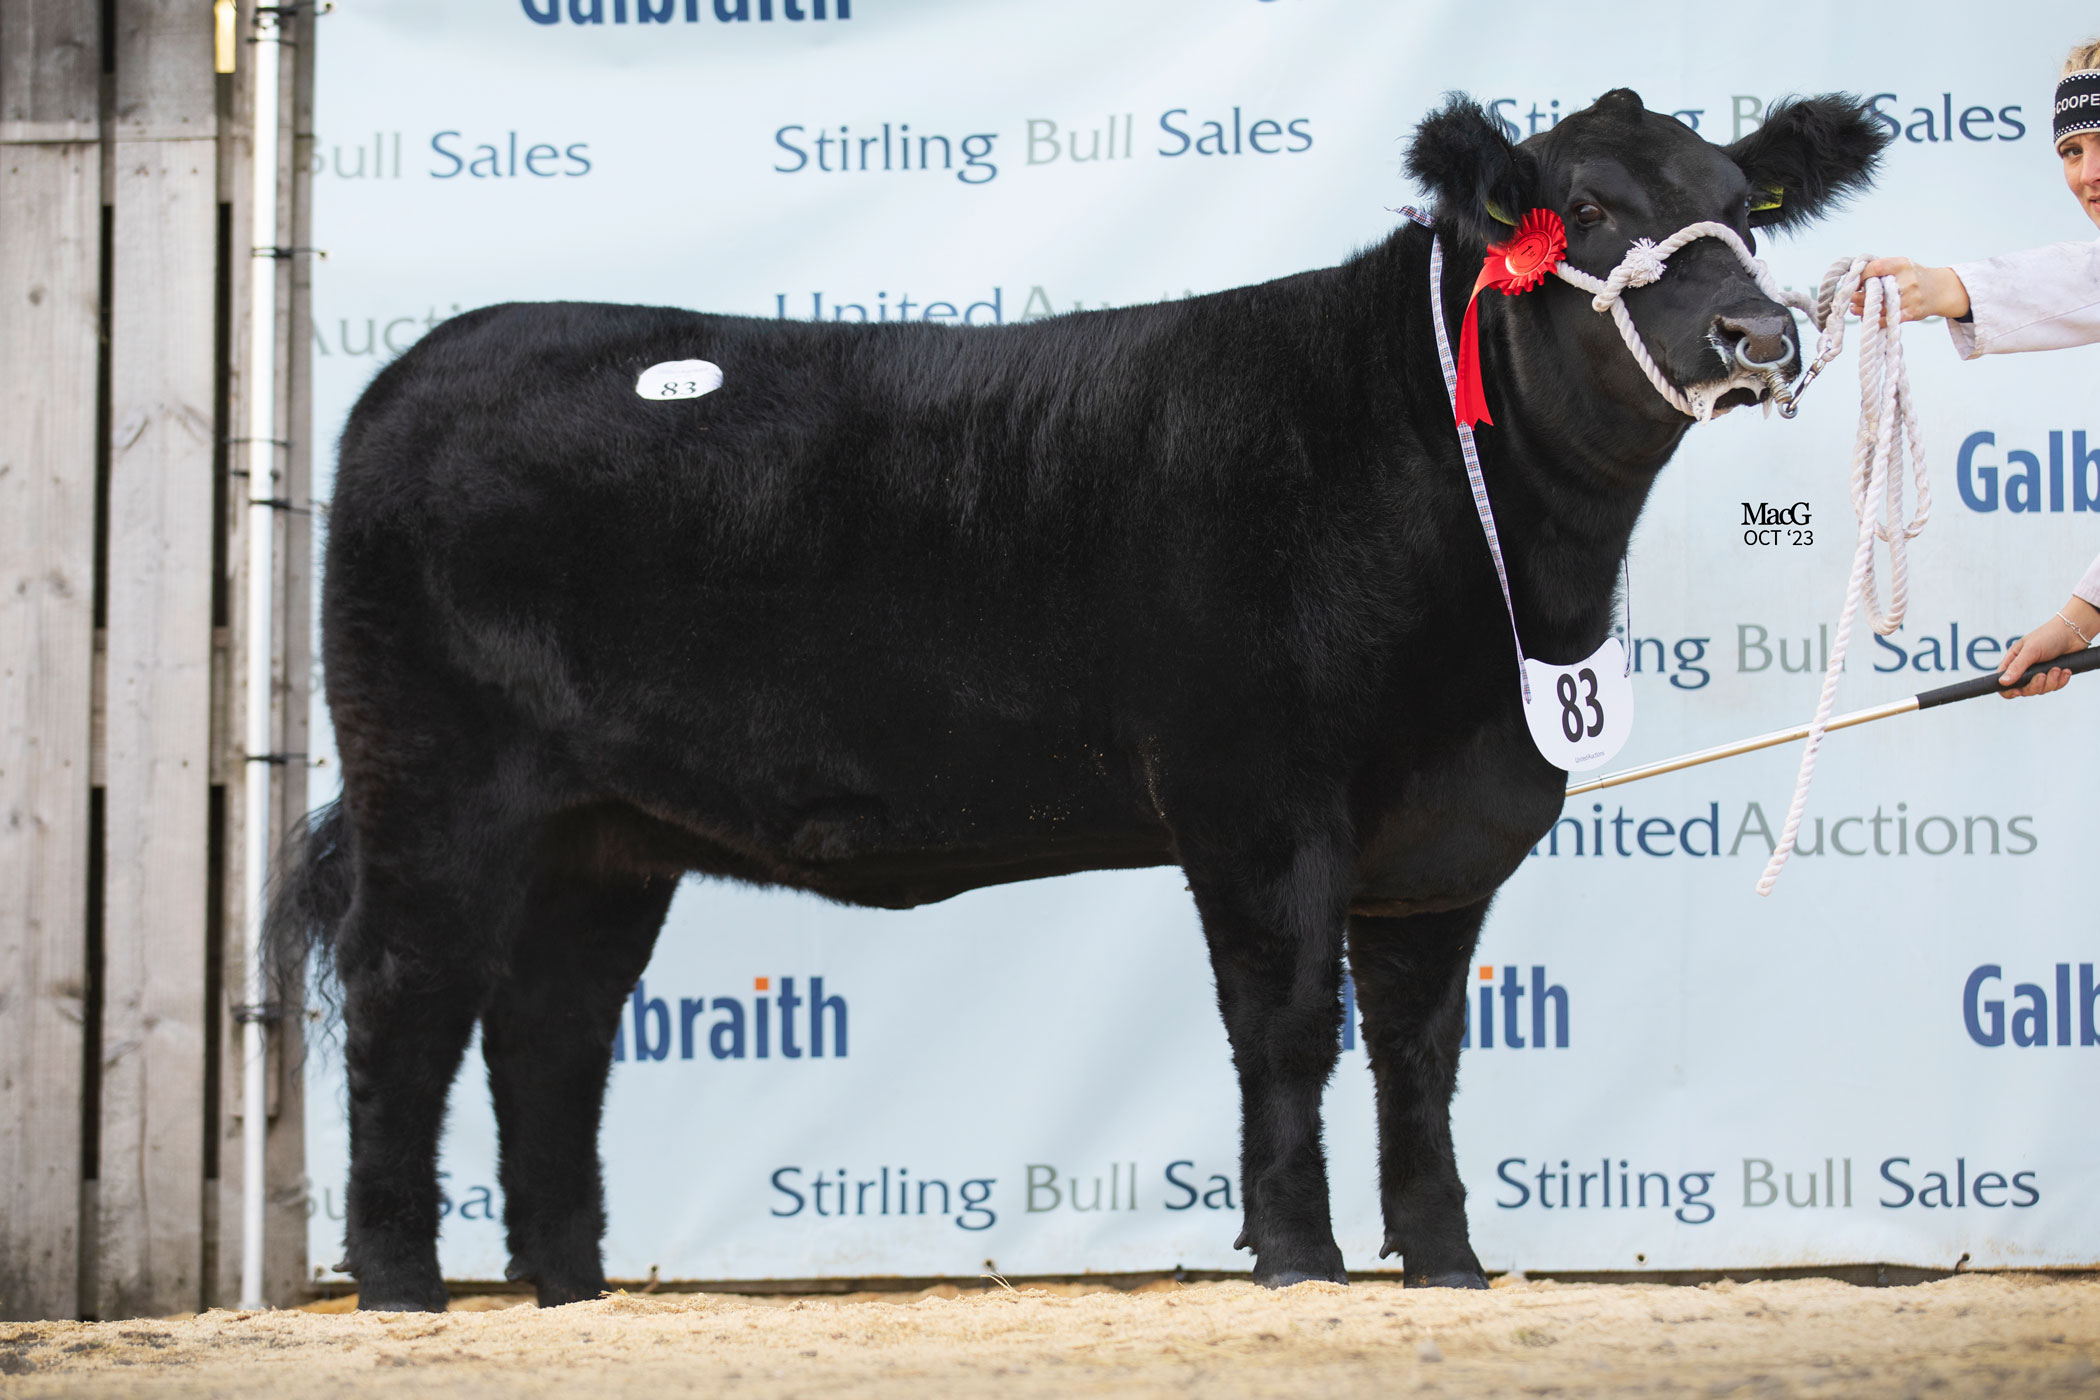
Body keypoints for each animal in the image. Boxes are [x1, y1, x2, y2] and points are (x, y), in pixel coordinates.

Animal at [269, 88, 1888, 1311]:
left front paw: (1448, 1267)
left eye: (1744, 205)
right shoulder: (1255, 796)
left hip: (601, 832)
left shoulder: (1445, 833)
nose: (1760, 336)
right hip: (439, 776)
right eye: (1592, 212)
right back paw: (401, 1286)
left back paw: (570, 1294)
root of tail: (430, 362)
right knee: (409, 995)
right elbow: (1288, 1026)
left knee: (548, 1027)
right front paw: (1298, 1260)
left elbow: (1423, 1057)